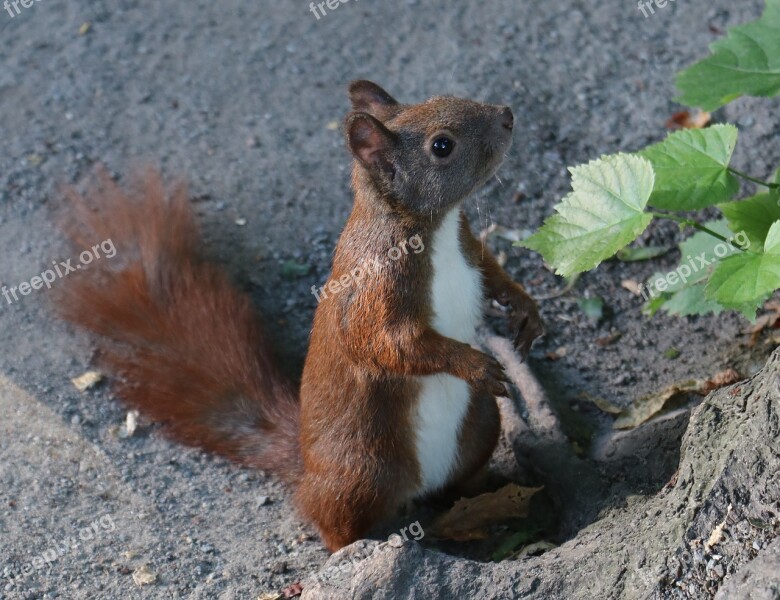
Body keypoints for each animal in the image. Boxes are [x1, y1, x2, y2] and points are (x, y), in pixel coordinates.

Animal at [54, 81, 544, 552]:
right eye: (442, 146)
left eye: (442, 95)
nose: (507, 115)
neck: (434, 227)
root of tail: (307, 467)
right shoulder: (372, 289)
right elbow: (389, 343)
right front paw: (474, 363)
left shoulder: (468, 245)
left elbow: (493, 272)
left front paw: (526, 309)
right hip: (360, 471)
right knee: (333, 522)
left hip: (481, 424)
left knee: (465, 477)